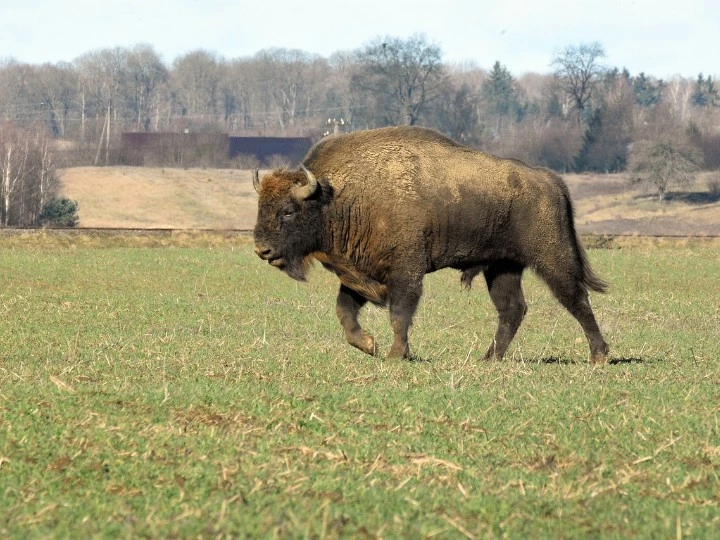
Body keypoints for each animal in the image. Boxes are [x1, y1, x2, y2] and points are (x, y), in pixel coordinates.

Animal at [252, 126, 608, 362]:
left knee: (576, 299)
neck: (336, 197)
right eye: (261, 206)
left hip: (552, 258)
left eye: (288, 211)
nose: (261, 250)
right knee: (512, 309)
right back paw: (488, 359)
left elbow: (399, 314)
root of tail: (550, 180)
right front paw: (370, 345)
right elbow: (345, 311)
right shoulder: (359, 274)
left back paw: (599, 355)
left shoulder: (405, 272)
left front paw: (395, 355)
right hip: (502, 268)